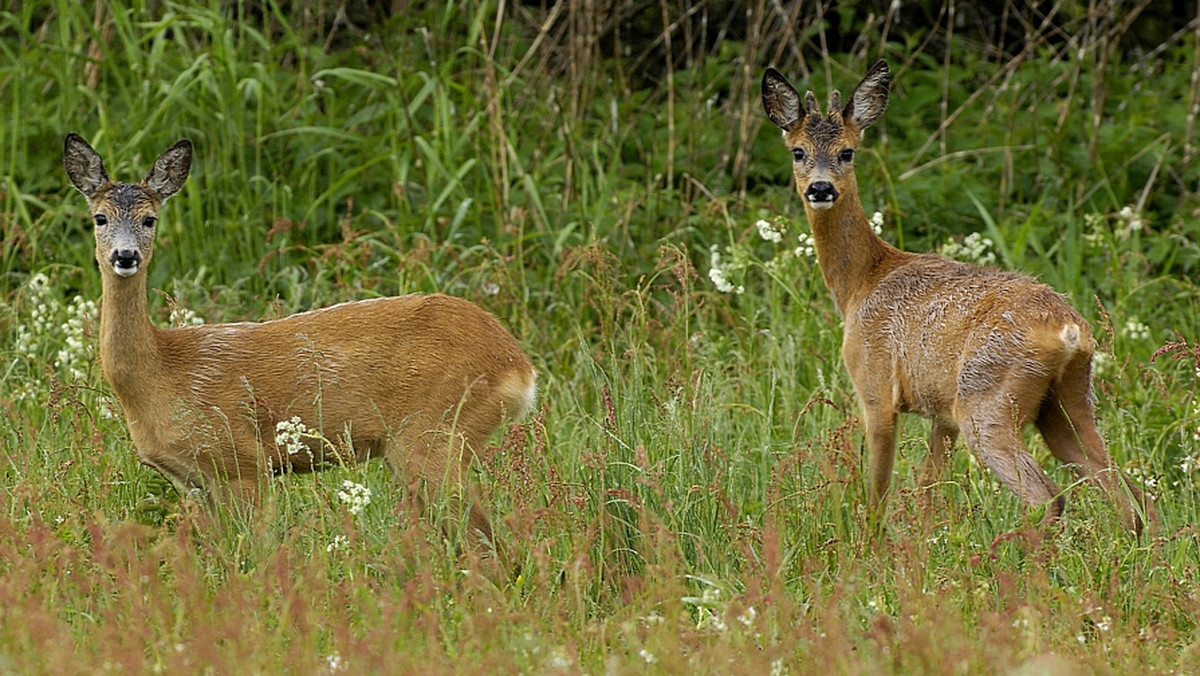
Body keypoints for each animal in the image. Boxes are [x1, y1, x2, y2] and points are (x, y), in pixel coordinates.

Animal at [63, 132, 537, 549]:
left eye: (150, 218)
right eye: (99, 217)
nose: (126, 256)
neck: (162, 373)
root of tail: (519, 366)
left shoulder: (242, 461)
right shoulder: (194, 483)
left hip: (434, 434)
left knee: (488, 541)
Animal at [758, 64, 1152, 540]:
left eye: (847, 152)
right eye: (798, 151)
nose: (820, 188)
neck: (862, 282)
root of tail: (1070, 330)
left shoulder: (875, 386)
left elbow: (878, 493)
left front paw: (869, 547)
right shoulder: (940, 413)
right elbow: (930, 493)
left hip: (986, 398)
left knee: (1048, 496)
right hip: (1066, 402)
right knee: (1132, 496)